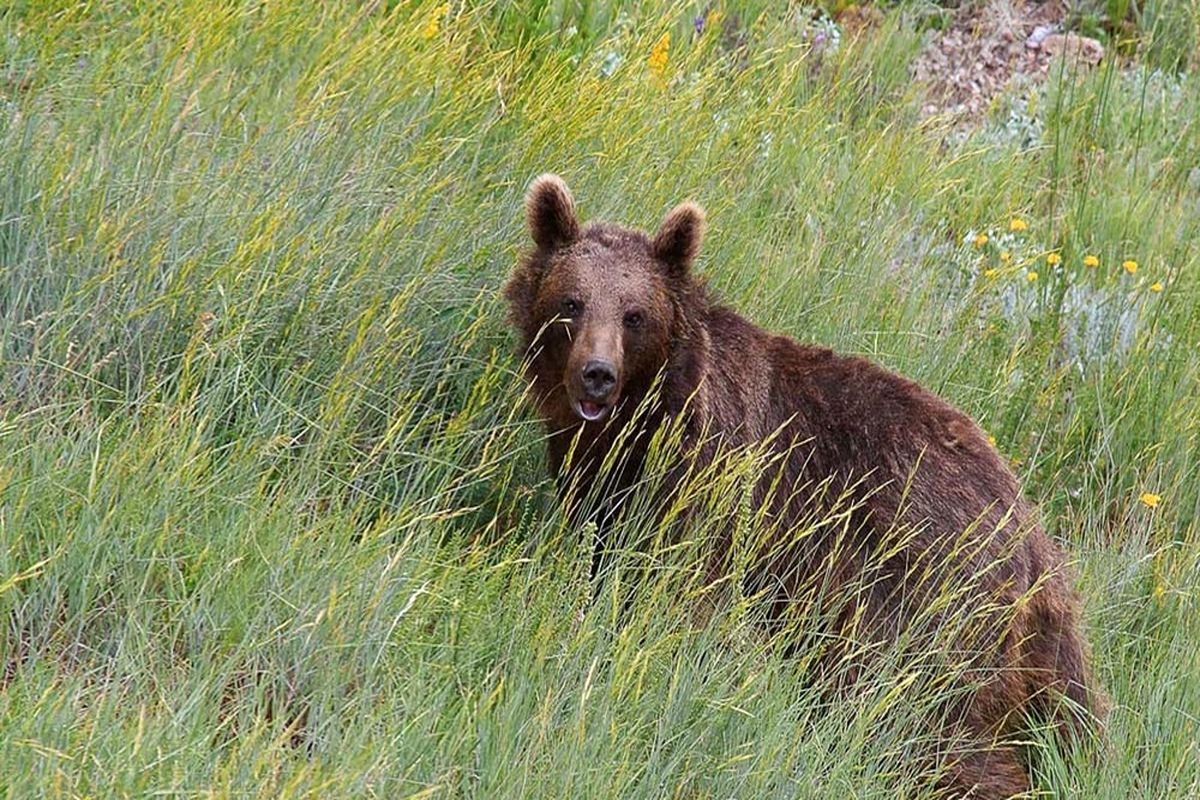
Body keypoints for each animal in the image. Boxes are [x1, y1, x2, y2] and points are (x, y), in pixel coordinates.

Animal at [501, 173, 1099, 796]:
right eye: (572, 302)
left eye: (635, 314)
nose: (597, 373)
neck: (641, 421)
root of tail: (1033, 533)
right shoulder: (602, 484)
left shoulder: (712, 479)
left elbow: (686, 591)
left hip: (924, 587)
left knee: (919, 711)